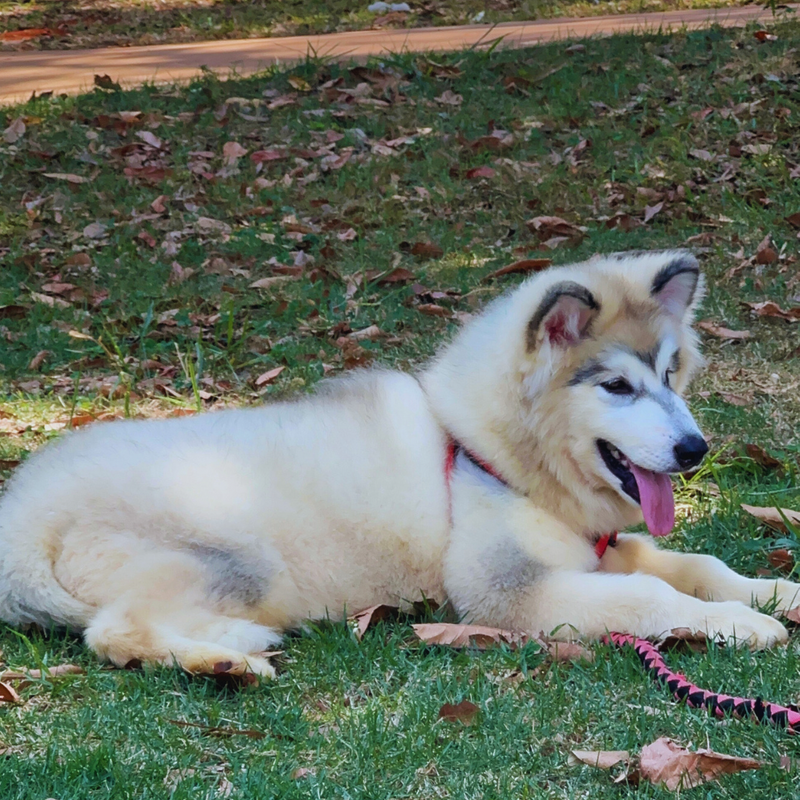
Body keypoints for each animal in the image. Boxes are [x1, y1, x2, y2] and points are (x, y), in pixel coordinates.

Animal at [0, 250, 792, 676]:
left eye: (671, 373)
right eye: (618, 387)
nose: (695, 449)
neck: (483, 449)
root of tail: (23, 514)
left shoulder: (598, 547)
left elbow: (694, 565)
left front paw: (772, 592)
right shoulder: (505, 590)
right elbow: (651, 597)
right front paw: (739, 625)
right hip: (238, 555)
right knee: (112, 630)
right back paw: (224, 658)